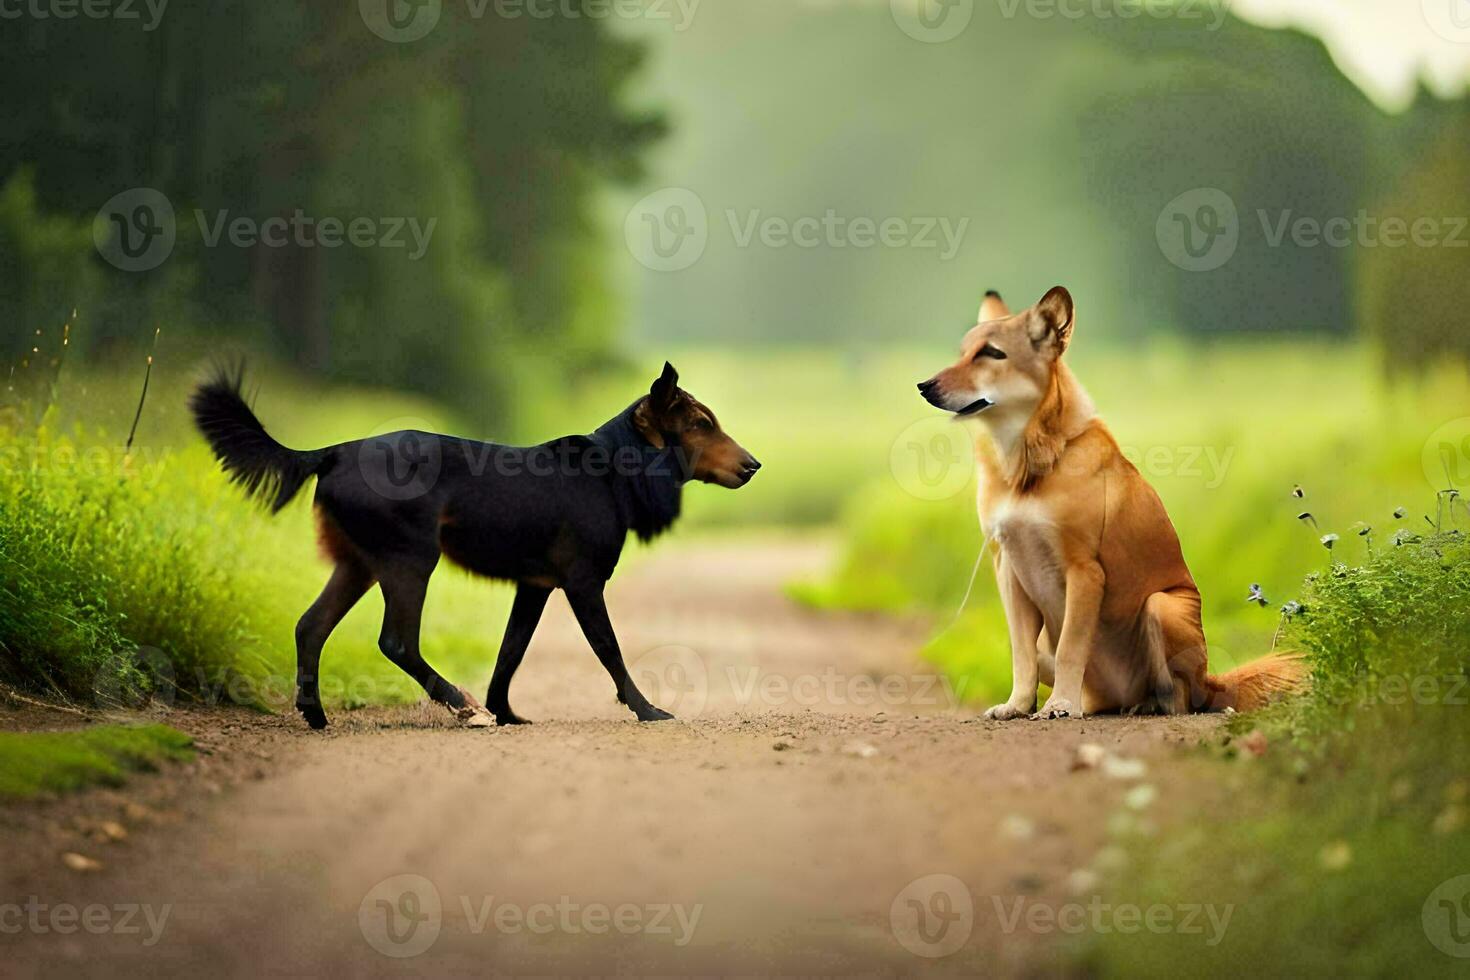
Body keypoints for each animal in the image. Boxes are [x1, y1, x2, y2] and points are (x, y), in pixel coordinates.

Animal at [191, 364, 764, 731]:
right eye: (700, 425)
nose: (753, 464)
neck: (618, 472)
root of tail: (331, 453)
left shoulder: (534, 585)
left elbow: (511, 652)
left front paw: (507, 712)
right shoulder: (582, 581)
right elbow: (611, 651)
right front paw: (647, 709)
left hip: (358, 561)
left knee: (311, 625)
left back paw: (315, 713)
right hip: (410, 557)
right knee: (396, 641)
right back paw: (459, 705)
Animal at [917, 287, 1311, 717]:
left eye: (991, 353)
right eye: (962, 352)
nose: (924, 386)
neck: (1028, 465)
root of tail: (1213, 683)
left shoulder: (1084, 571)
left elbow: (1072, 646)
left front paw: (1059, 705)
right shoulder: (1009, 571)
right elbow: (1021, 654)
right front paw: (1017, 706)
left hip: (1161, 607)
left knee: (1180, 698)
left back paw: (1144, 706)